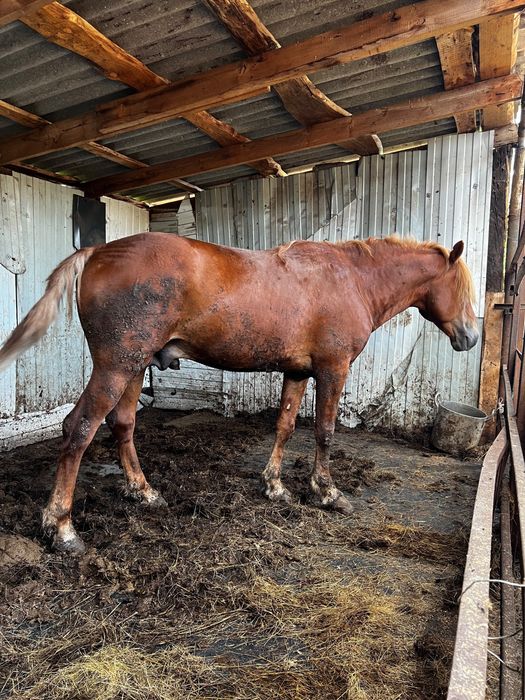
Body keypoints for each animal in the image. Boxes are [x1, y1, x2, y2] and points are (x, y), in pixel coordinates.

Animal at [0, 233, 478, 554]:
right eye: (460, 287)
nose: (471, 337)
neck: (351, 279)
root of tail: (98, 252)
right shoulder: (333, 369)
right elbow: (324, 431)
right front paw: (327, 492)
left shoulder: (297, 371)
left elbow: (285, 426)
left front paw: (275, 486)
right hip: (115, 366)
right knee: (78, 429)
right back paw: (62, 528)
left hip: (134, 367)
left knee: (122, 424)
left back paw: (144, 491)